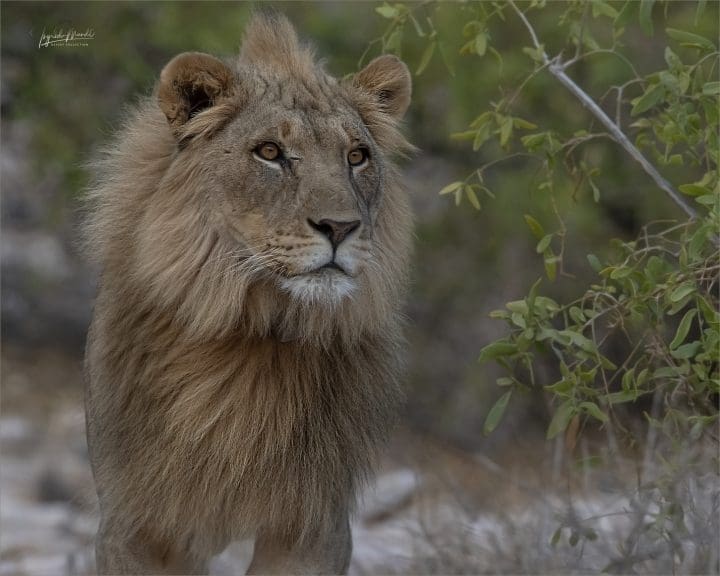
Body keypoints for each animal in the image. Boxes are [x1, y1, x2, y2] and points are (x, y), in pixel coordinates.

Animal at [83, 11, 410, 572]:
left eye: (357, 156)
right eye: (270, 153)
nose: (340, 227)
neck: (250, 332)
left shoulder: (314, 525)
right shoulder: (136, 521)